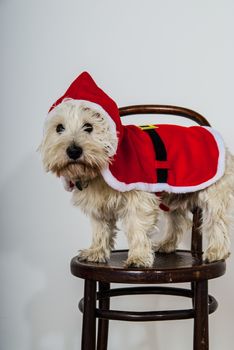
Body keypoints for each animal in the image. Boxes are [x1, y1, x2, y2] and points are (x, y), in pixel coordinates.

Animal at [40, 72, 234, 268]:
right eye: (59, 128)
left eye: (89, 126)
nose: (73, 151)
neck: (103, 165)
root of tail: (212, 133)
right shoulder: (98, 204)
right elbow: (100, 228)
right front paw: (96, 252)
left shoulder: (139, 197)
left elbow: (137, 226)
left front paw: (138, 257)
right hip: (174, 193)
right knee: (178, 219)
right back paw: (167, 244)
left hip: (213, 192)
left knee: (216, 219)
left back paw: (216, 251)